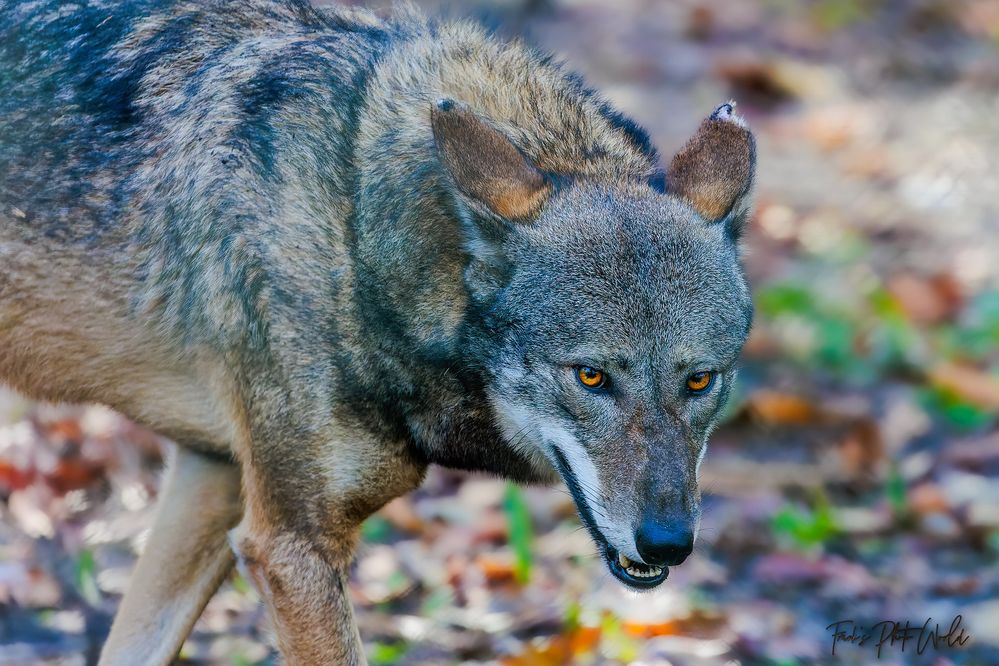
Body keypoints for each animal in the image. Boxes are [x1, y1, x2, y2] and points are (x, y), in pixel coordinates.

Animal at [0, 1, 756, 660]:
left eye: (699, 381)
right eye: (591, 376)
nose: (667, 542)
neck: (356, 225)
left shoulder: (210, 477)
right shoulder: (290, 547)